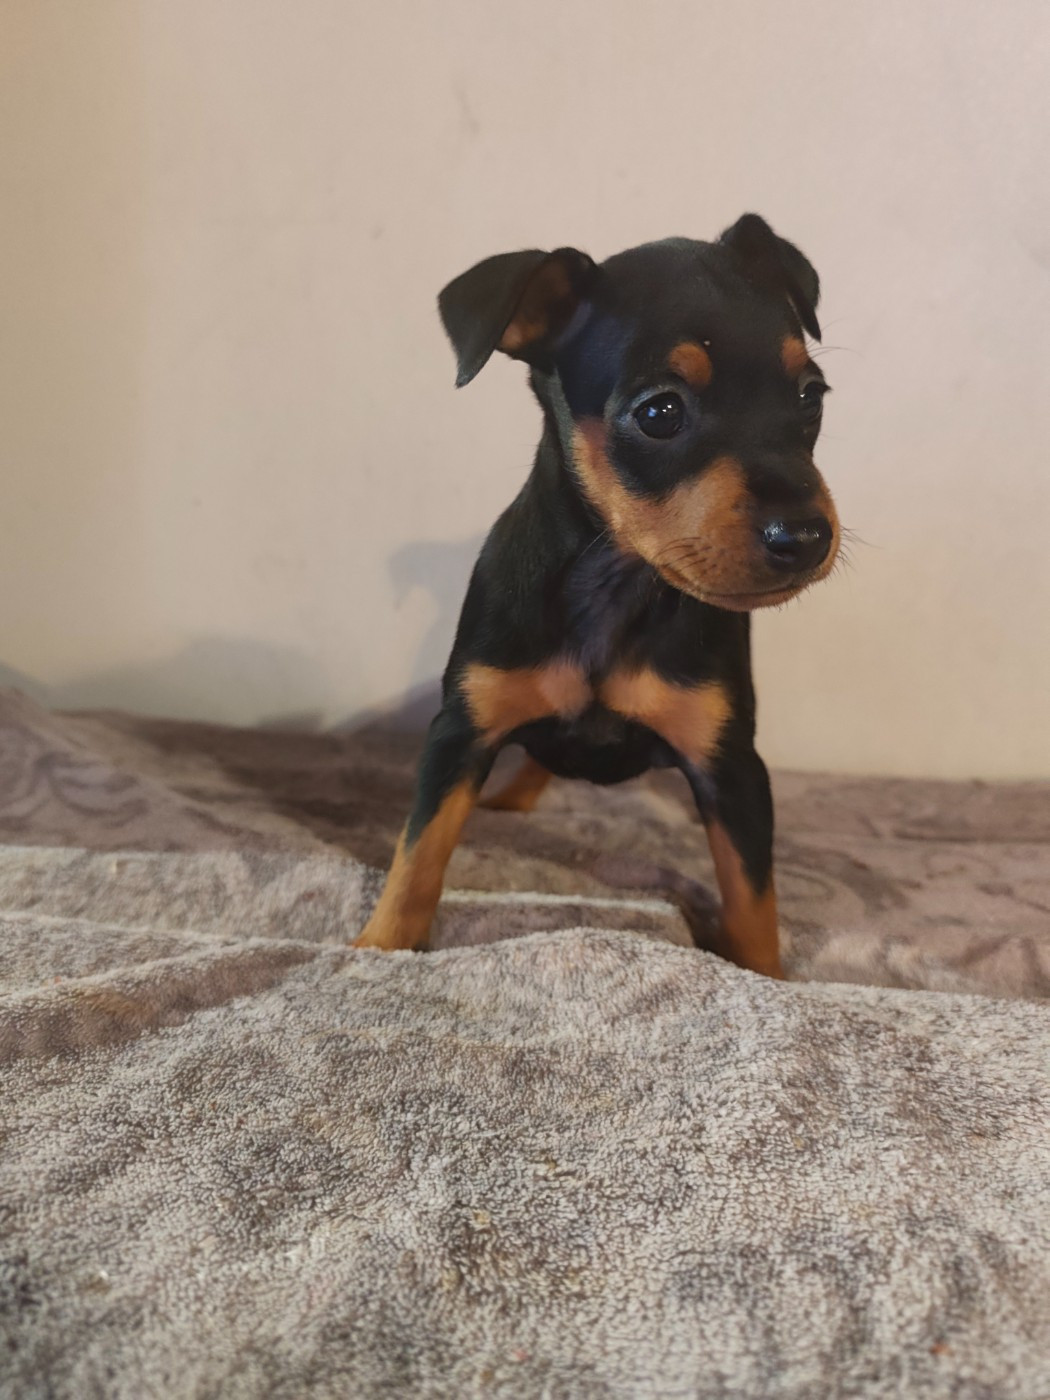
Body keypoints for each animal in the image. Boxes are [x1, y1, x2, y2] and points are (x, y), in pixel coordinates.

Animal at [356, 214, 840, 978]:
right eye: (661, 412)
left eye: (810, 396)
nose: (807, 537)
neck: (618, 581)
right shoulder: (459, 732)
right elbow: (418, 854)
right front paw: (379, 948)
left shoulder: (732, 767)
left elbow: (752, 897)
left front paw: (765, 976)